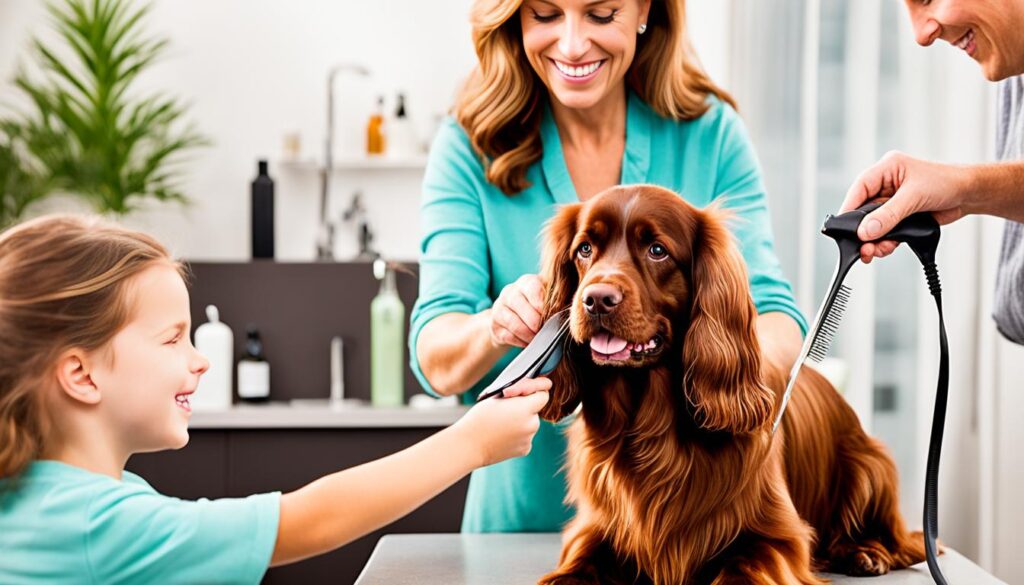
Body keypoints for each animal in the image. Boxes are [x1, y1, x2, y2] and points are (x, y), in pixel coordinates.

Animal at [536, 185, 929, 581]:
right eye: (585, 249)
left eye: (657, 250)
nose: (596, 300)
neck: (652, 424)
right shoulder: (595, 527)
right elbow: (580, 561)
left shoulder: (778, 537)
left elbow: (744, 564)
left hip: (871, 468)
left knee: (898, 541)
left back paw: (865, 551)